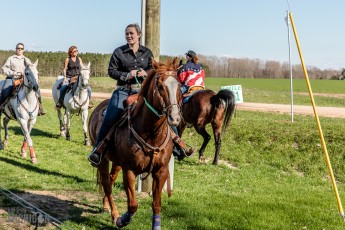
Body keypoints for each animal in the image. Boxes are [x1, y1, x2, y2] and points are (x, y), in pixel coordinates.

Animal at [87, 57, 181, 230]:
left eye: (178, 85)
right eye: (160, 86)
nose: (175, 117)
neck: (151, 133)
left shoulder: (161, 171)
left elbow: (156, 204)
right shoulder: (129, 170)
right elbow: (132, 205)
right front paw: (122, 220)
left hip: (116, 162)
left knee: (111, 179)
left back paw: (105, 206)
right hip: (102, 159)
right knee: (107, 184)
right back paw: (114, 214)